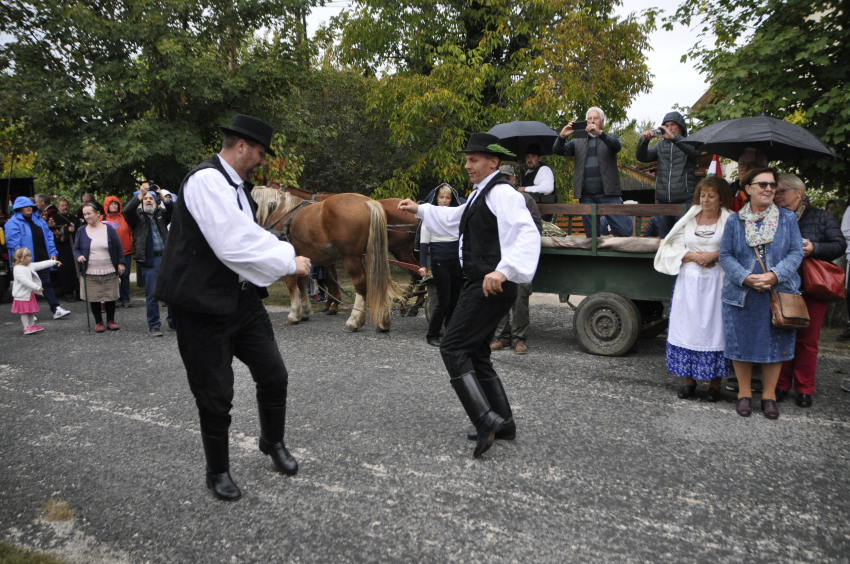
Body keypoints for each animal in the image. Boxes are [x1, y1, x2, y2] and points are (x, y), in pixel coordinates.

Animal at [252, 188, 404, 330]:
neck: (280, 212)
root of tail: (368, 202)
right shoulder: (303, 257)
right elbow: (302, 283)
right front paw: (305, 311)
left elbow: (291, 283)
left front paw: (294, 314)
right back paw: (383, 321)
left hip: (350, 257)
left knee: (360, 282)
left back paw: (354, 320)